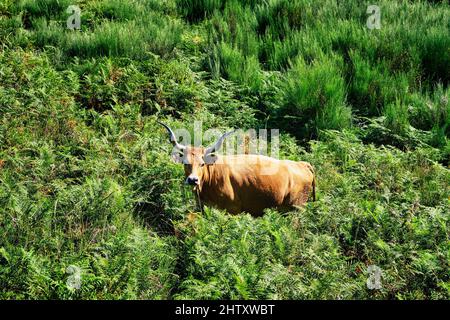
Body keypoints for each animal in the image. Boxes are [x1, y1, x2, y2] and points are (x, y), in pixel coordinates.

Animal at [158, 122, 316, 218]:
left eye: (202, 164)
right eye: (185, 163)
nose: (193, 180)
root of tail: (302, 164)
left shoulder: (232, 210)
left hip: (297, 208)